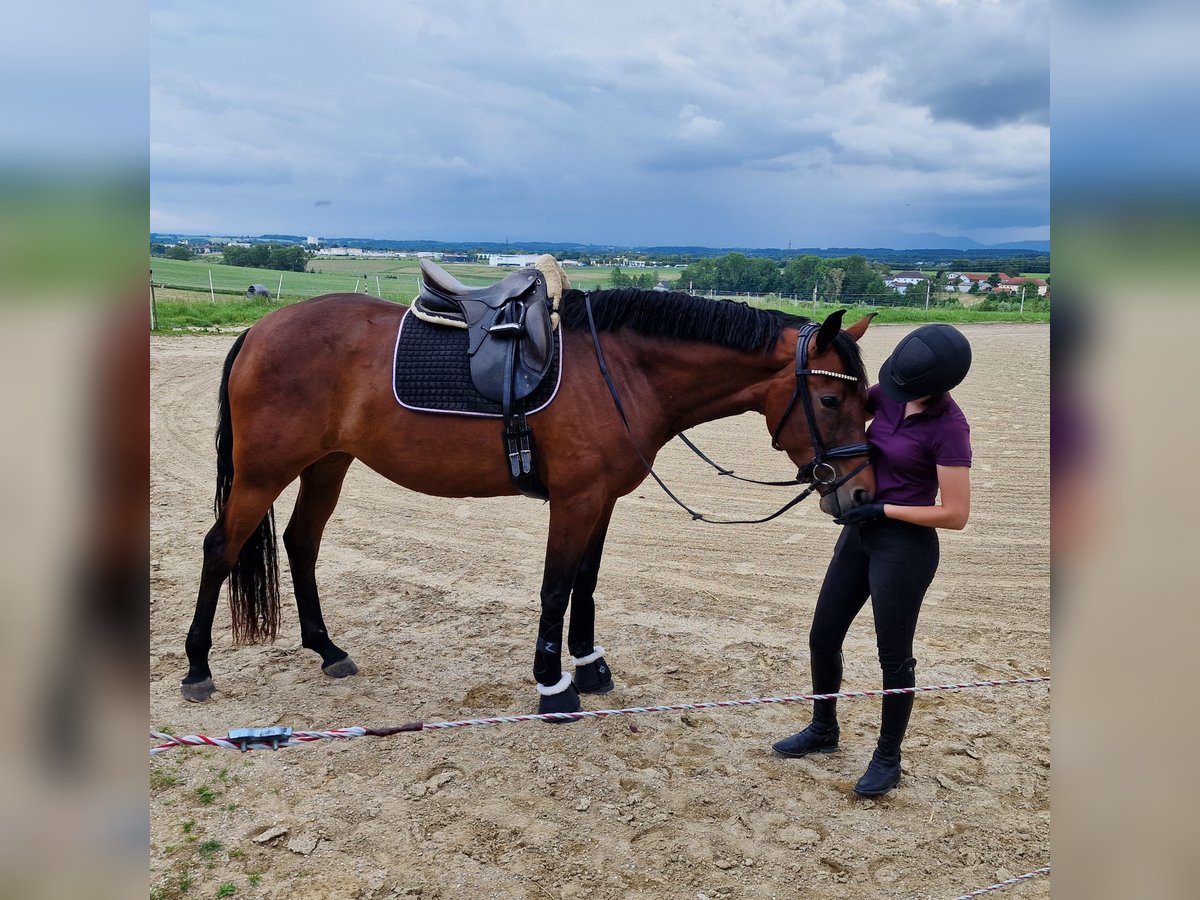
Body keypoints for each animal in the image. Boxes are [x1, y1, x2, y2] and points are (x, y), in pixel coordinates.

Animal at [180, 285, 873, 715]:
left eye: (866, 400)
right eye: (830, 399)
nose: (860, 492)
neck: (621, 371)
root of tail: (260, 329)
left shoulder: (603, 501)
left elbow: (586, 584)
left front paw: (589, 665)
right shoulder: (573, 500)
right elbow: (555, 587)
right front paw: (552, 684)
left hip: (327, 466)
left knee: (301, 543)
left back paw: (327, 650)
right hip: (264, 472)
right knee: (220, 548)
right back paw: (197, 668)